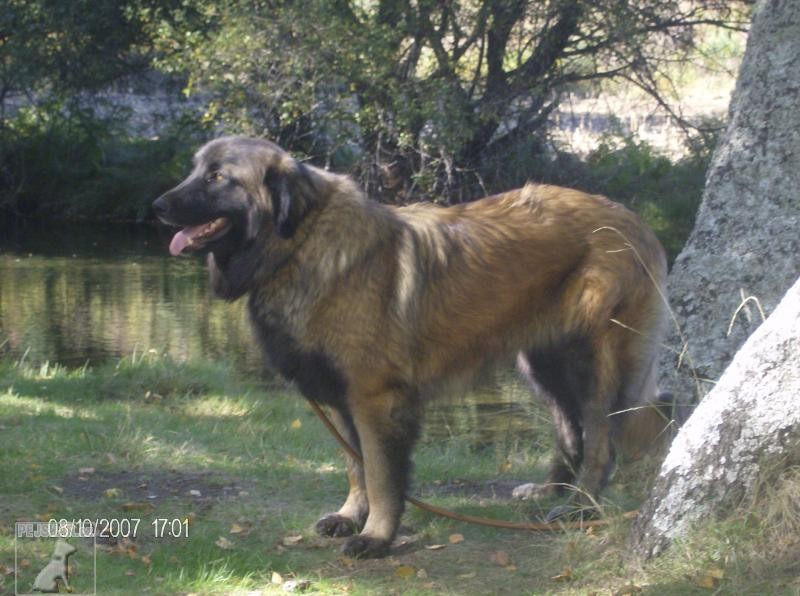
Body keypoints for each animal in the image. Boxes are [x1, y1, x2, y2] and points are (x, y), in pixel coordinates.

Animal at [153, 136, 672, 560]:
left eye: (217, 177)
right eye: (196, 170)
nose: (157, 205)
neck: (300, 245)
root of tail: (633, 219)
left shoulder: (374, 398)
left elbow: (382, 473)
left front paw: (377, 537)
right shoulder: (341, 396)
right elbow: (355, 464)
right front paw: (351, 516)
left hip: (590, 361)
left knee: (602, 439)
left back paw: (581, 506)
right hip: (542, 364)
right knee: (570, 428)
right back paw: (551, 491)